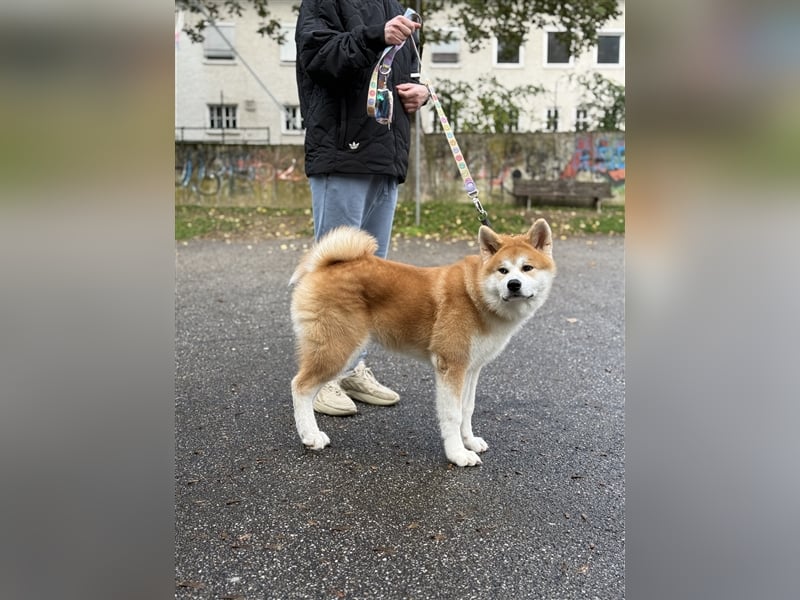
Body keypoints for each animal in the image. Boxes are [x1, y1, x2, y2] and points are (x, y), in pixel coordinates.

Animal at [290, 221, 556, 468]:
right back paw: (310, 435)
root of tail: (326, 265)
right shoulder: (451, 366)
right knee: (300, 386)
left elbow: (467, 409)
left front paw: (469, 441)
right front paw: (458, 454)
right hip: (339, 348)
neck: (476, 295)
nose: (514, 284)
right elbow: (453, 415)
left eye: (527, 268)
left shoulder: (471, 368)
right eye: (503, 270)